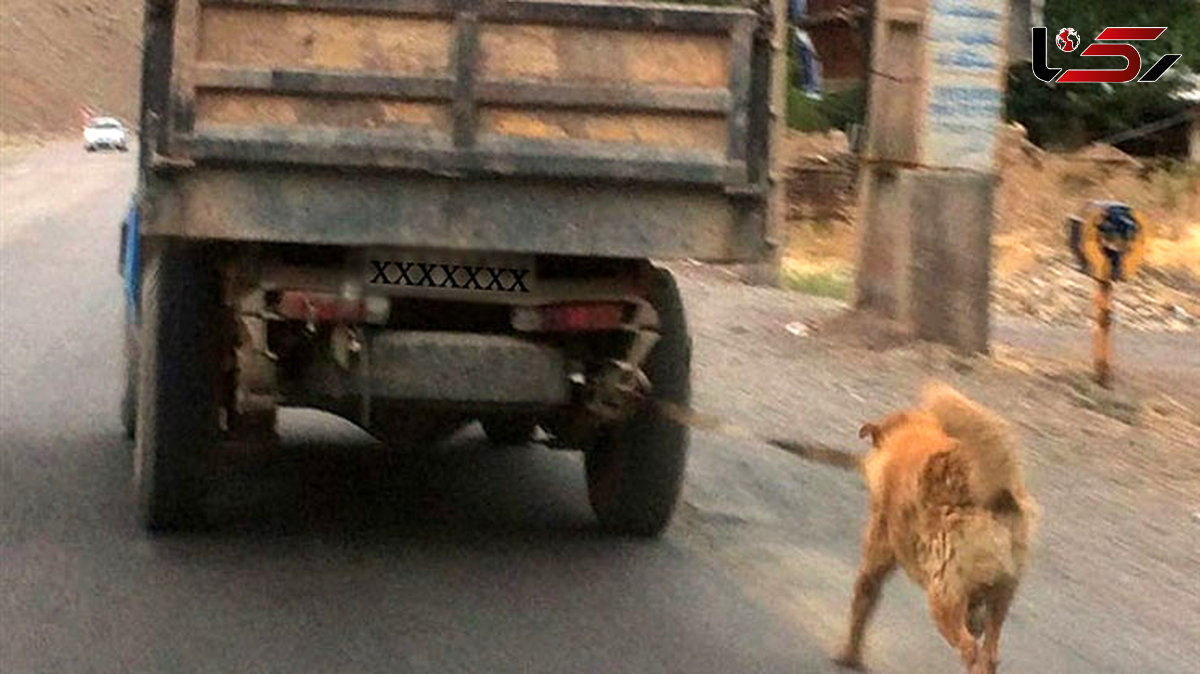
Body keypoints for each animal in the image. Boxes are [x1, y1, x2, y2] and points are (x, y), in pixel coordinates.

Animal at [835, 383, 1041, 671]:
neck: (912, 436)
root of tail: (995, 496)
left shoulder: (879, 550)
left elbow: (862, 603)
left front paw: (849, 656)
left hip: (943, 598)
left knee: (970, 650)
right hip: (1003, 595)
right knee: (988, 653)